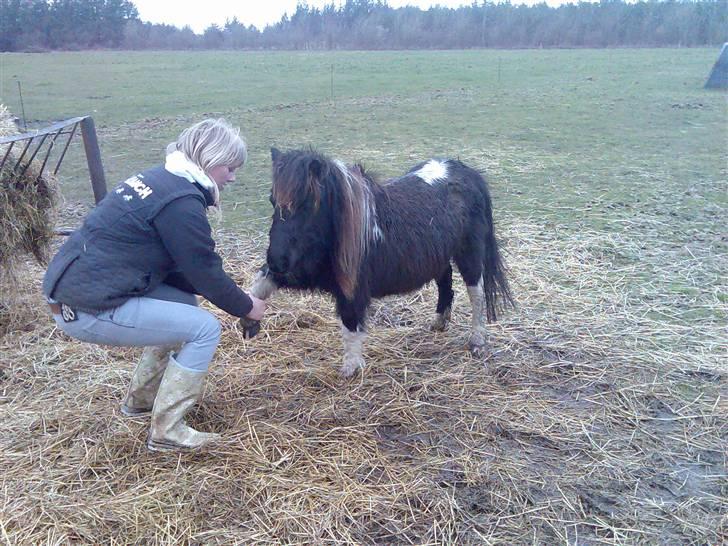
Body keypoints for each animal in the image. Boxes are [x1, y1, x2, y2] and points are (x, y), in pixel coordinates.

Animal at [247, 147, 516, 376]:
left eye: (306, 205)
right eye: (272, 201)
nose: (277, 259)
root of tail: (467, 172)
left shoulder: (350, 288)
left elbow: (350, 325)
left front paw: (351, 369)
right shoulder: (302, 271)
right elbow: (260, 283)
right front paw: (249, 321)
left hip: (469, 254)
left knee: (476, 293)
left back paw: (477, 341)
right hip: (438, 254)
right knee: (445, 283)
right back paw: (439, 323)